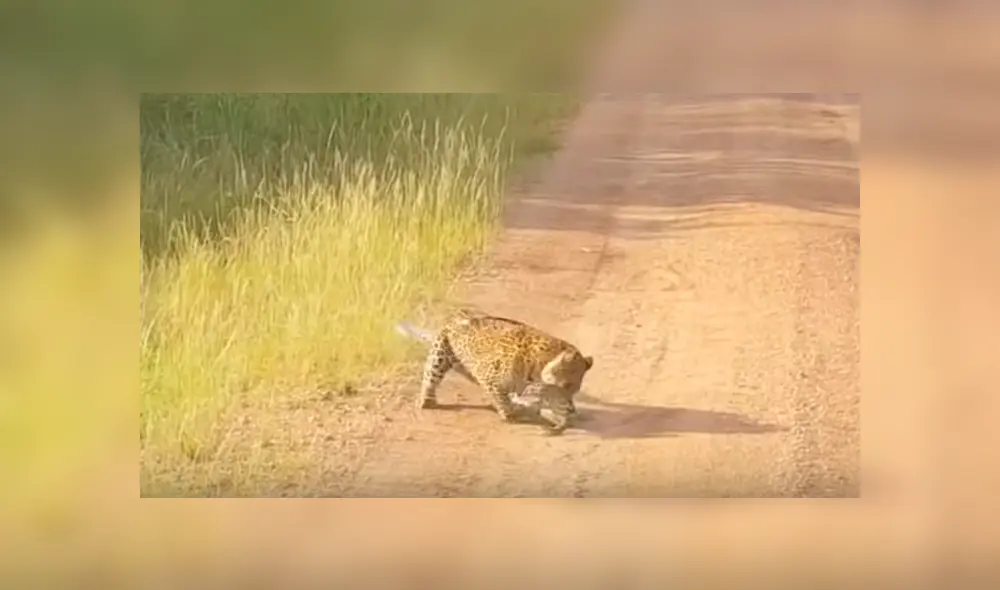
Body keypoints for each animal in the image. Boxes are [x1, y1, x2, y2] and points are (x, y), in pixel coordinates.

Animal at [394, 308, 594, 435]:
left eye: (574, 390)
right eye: (566, 386)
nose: (571, 408)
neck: (538, 365)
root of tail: (460, 312)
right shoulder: (490, 379)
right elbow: (503, 399)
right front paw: (510, 414)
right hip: (440, 354)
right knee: (430, 376)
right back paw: (426, 400)